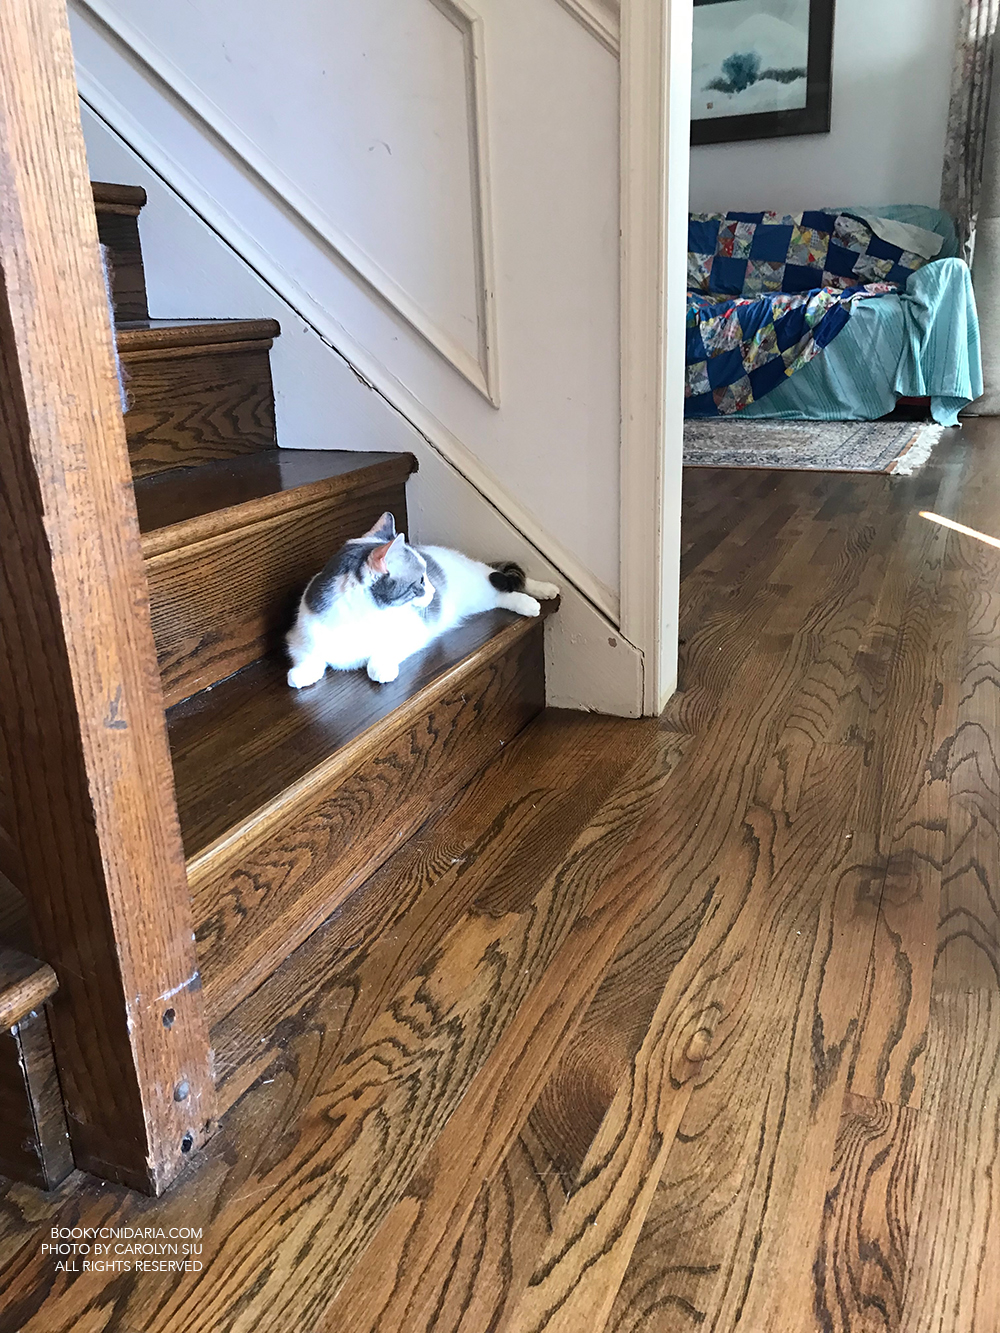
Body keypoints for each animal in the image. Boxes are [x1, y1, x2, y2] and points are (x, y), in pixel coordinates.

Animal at [286, 512, 559, 688]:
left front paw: (380, 668)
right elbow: (308, 656)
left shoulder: (414, 631)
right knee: (500, 593)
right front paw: (301, 674)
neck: (357, 620)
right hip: (481, 597)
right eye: (420, 580)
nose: (433, 590)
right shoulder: (297, 637)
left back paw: (540, 594)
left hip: (480, 582)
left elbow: (381, 655)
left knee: (504, 582)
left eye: (427, 575)